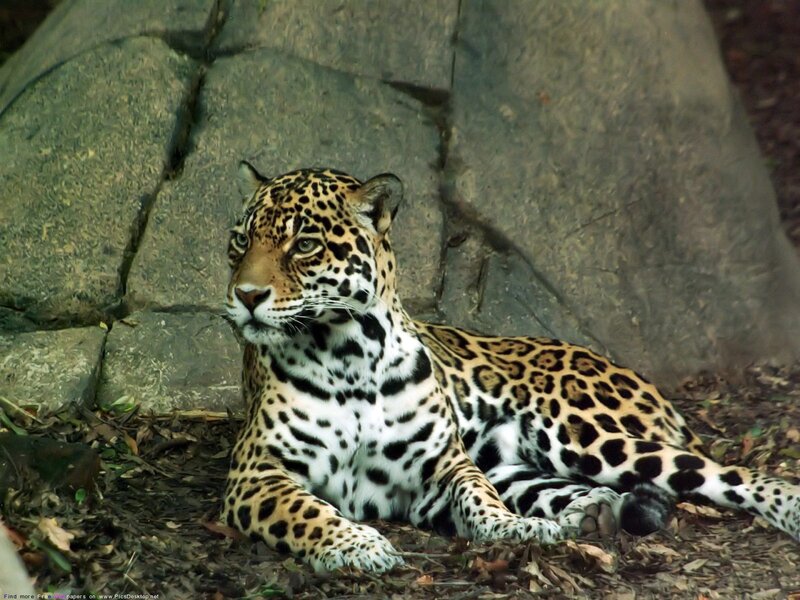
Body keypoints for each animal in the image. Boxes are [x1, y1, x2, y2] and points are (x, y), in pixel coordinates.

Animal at [222, 162, 800, 573]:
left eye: (304, 245)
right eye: (240, 240)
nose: (245, 296)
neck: (349, 354)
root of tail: (634, 374)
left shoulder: (442, 466)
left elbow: (476, 495)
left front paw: (509, 528)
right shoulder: (257, 472)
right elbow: (310, 511)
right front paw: (359, 545)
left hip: (589, 437)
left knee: (725, 474)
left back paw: (787, 507)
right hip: (518, 463)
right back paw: (589, 512)